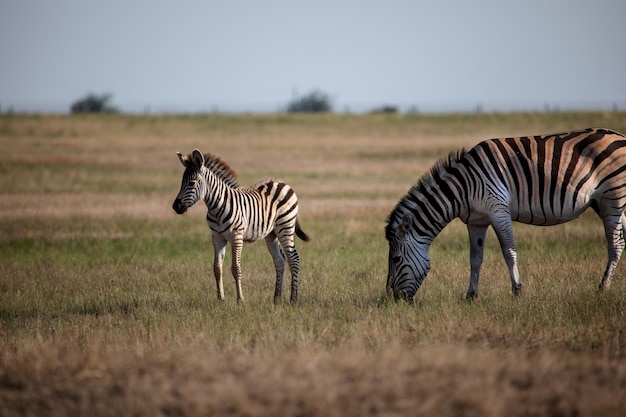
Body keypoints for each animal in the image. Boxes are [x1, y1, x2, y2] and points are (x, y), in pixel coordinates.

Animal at [172, 150, 308, 302]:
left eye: (192, 183)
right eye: (181, 182)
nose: (175, 207)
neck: (216, 207)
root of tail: (282, 183)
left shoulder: (236, 237)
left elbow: (235, 268)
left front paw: (240, 299)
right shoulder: (217, 237)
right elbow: (217, 268)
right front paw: (220, 298)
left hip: (286, 226)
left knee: (293, 259)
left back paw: (293, 298)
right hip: (272, 233)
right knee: (280, 260)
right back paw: (276, 299)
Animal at [382, 127, 624, 302]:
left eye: (396, 259)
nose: (396, 300)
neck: (463, 187)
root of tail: (619, 135)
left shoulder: (499, 211)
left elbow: (509, 252)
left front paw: (517, 291)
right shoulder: (476, 221)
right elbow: (475, 258)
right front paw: (470, 296)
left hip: (614, 196)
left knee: (615, 244)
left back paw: (602, 289)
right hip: (603, 202)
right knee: (620, 241)